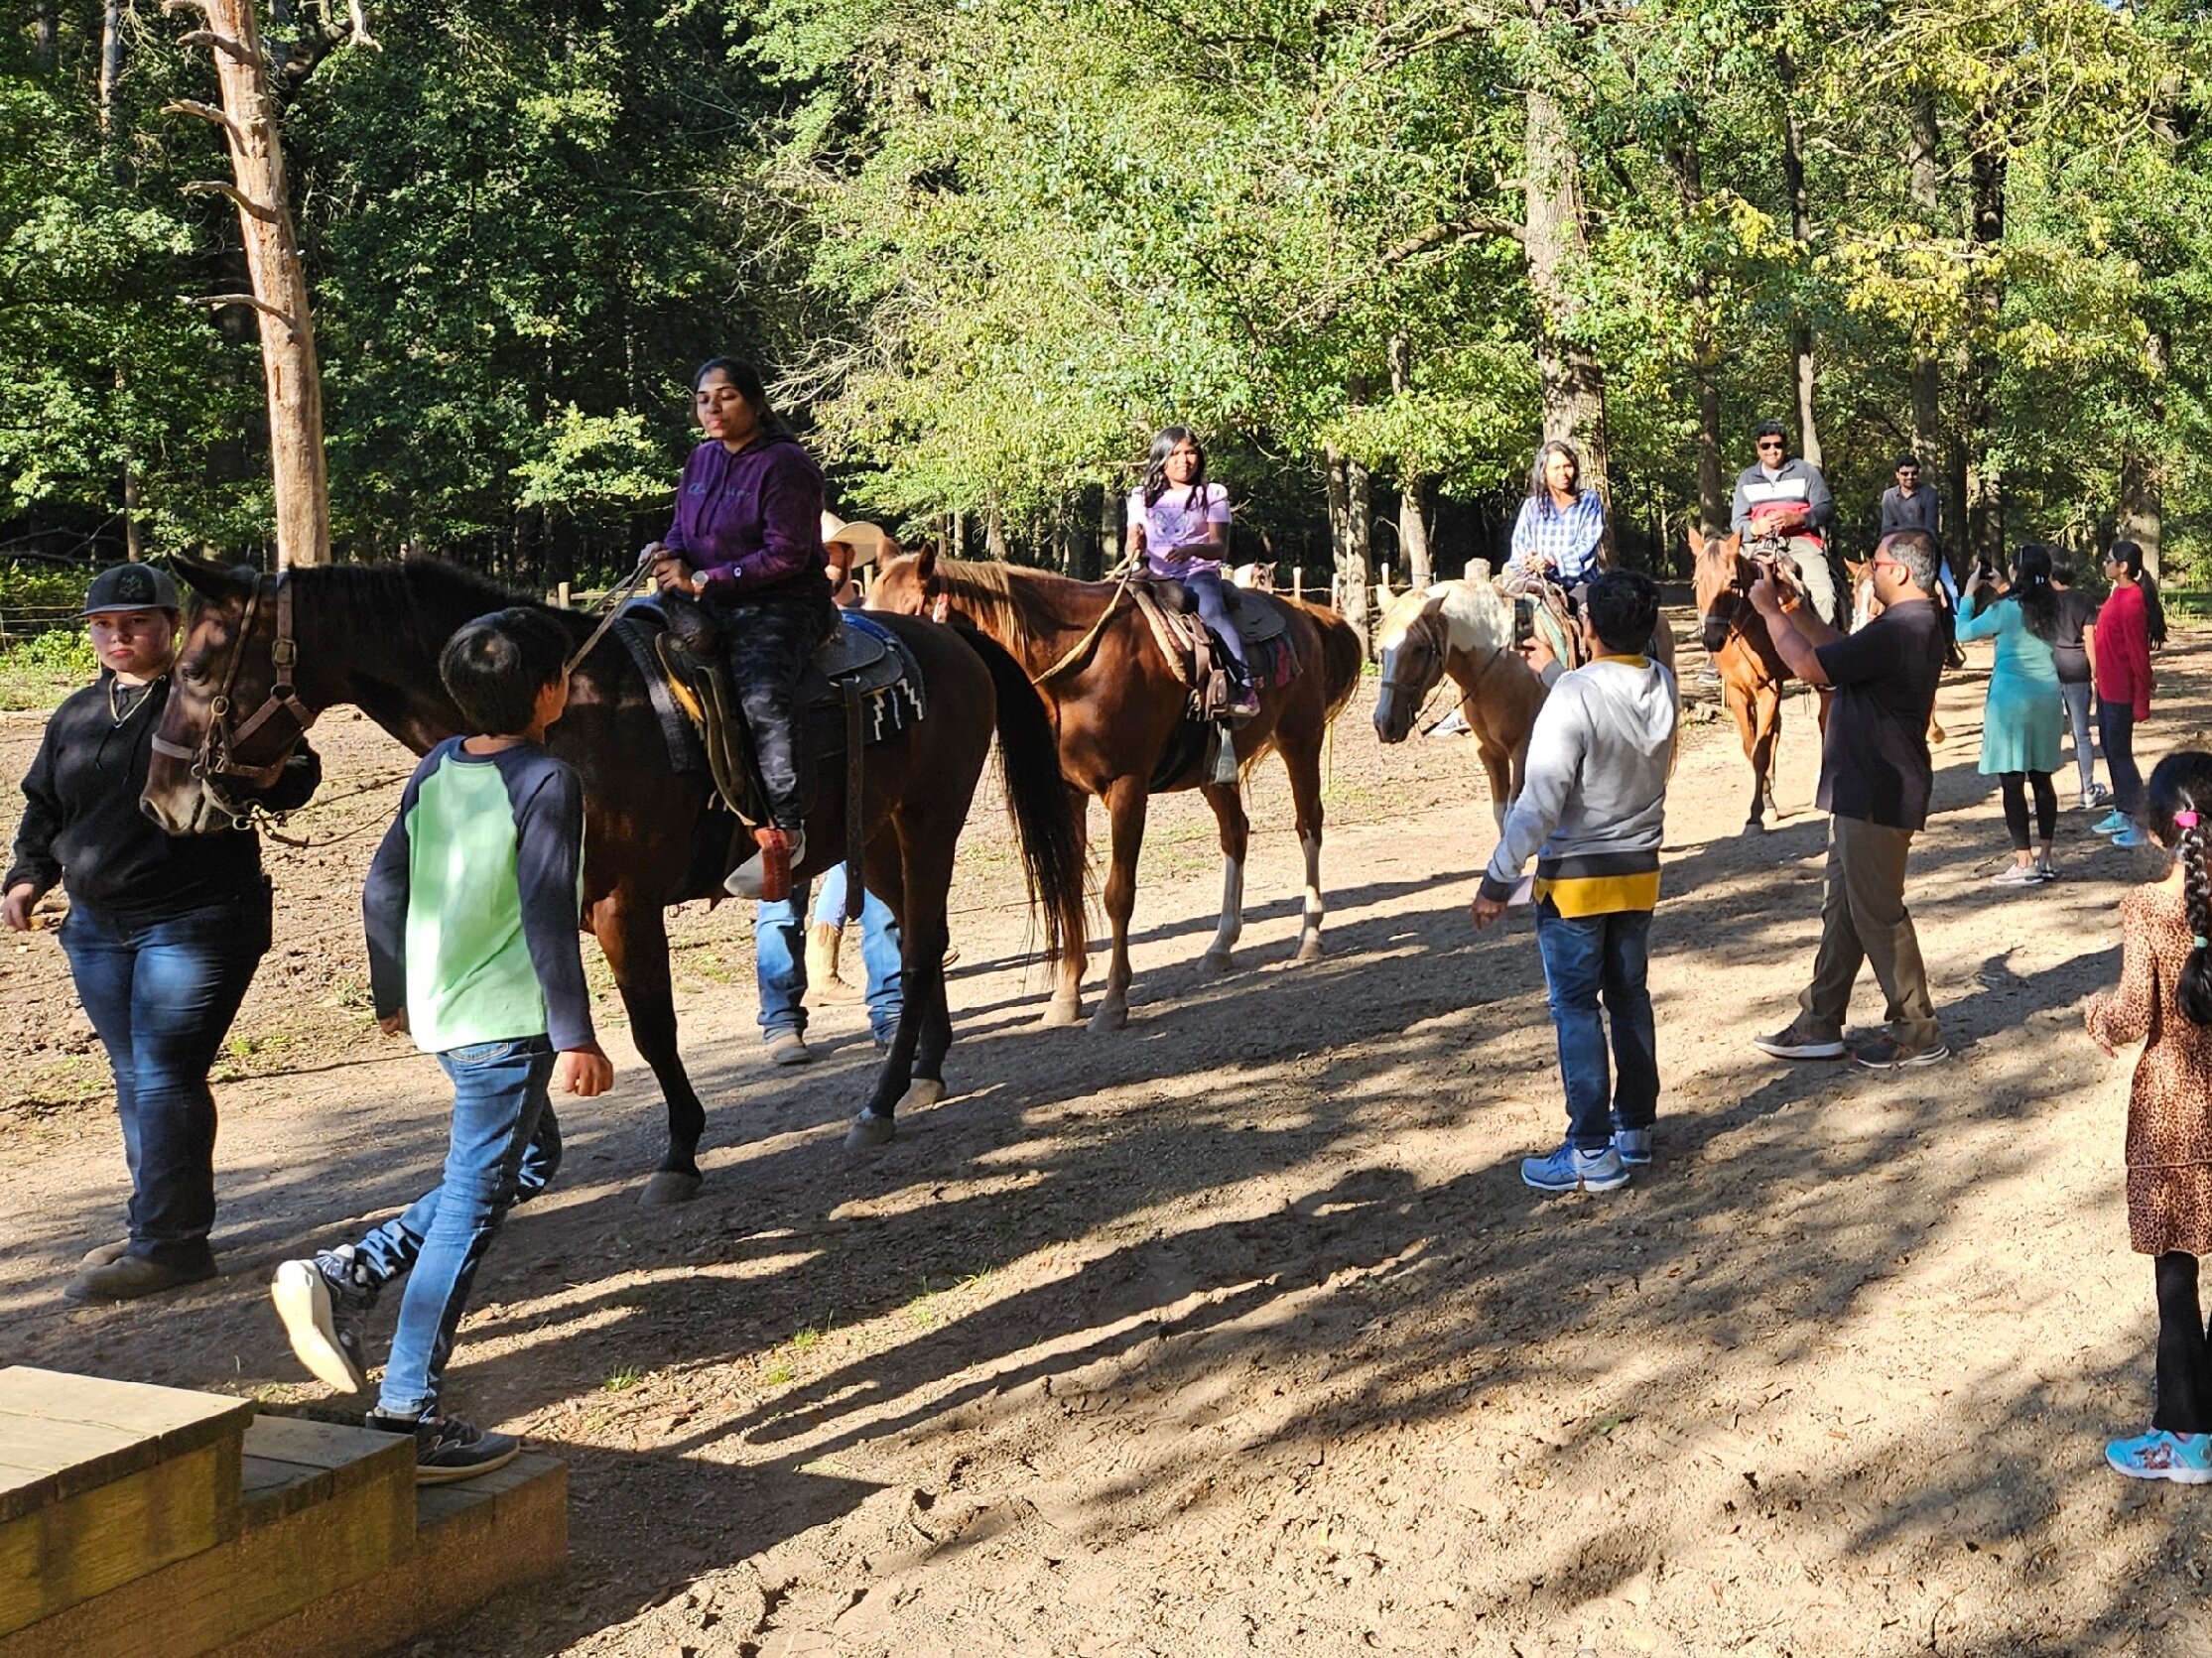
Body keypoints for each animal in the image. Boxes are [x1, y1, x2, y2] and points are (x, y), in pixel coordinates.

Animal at [138, 559, 1088, 1185]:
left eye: (196, 667)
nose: (161, 803)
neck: (564, 716)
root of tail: (946, 637)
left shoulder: (620, 905)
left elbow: (651, 1030)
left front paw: (679, 1148)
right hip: (881, 838)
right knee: (928, 944)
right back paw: (924, 1070)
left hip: (927, 823)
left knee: (922, 947)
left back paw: (881, 1102)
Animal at [866, 553, 1354, 1034]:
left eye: (905, 615)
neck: (1078, 667)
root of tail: (1304, 614)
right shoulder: (1068, 795)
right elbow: (1069, 891)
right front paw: (1065, 998)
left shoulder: (1127, 787)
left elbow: (1118, 893)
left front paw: (1113, 1001)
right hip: (1215, 770)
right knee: (1235, 834)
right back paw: (1220, 945)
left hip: (1300, 739)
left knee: (1308, 824)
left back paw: (1309, 935)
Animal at [1370, 570, 1548, 830]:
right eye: (1381, 649)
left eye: (1419, 648)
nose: (1384, 723)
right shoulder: (1489, 752)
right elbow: (1500, 814)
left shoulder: (1522, 750)